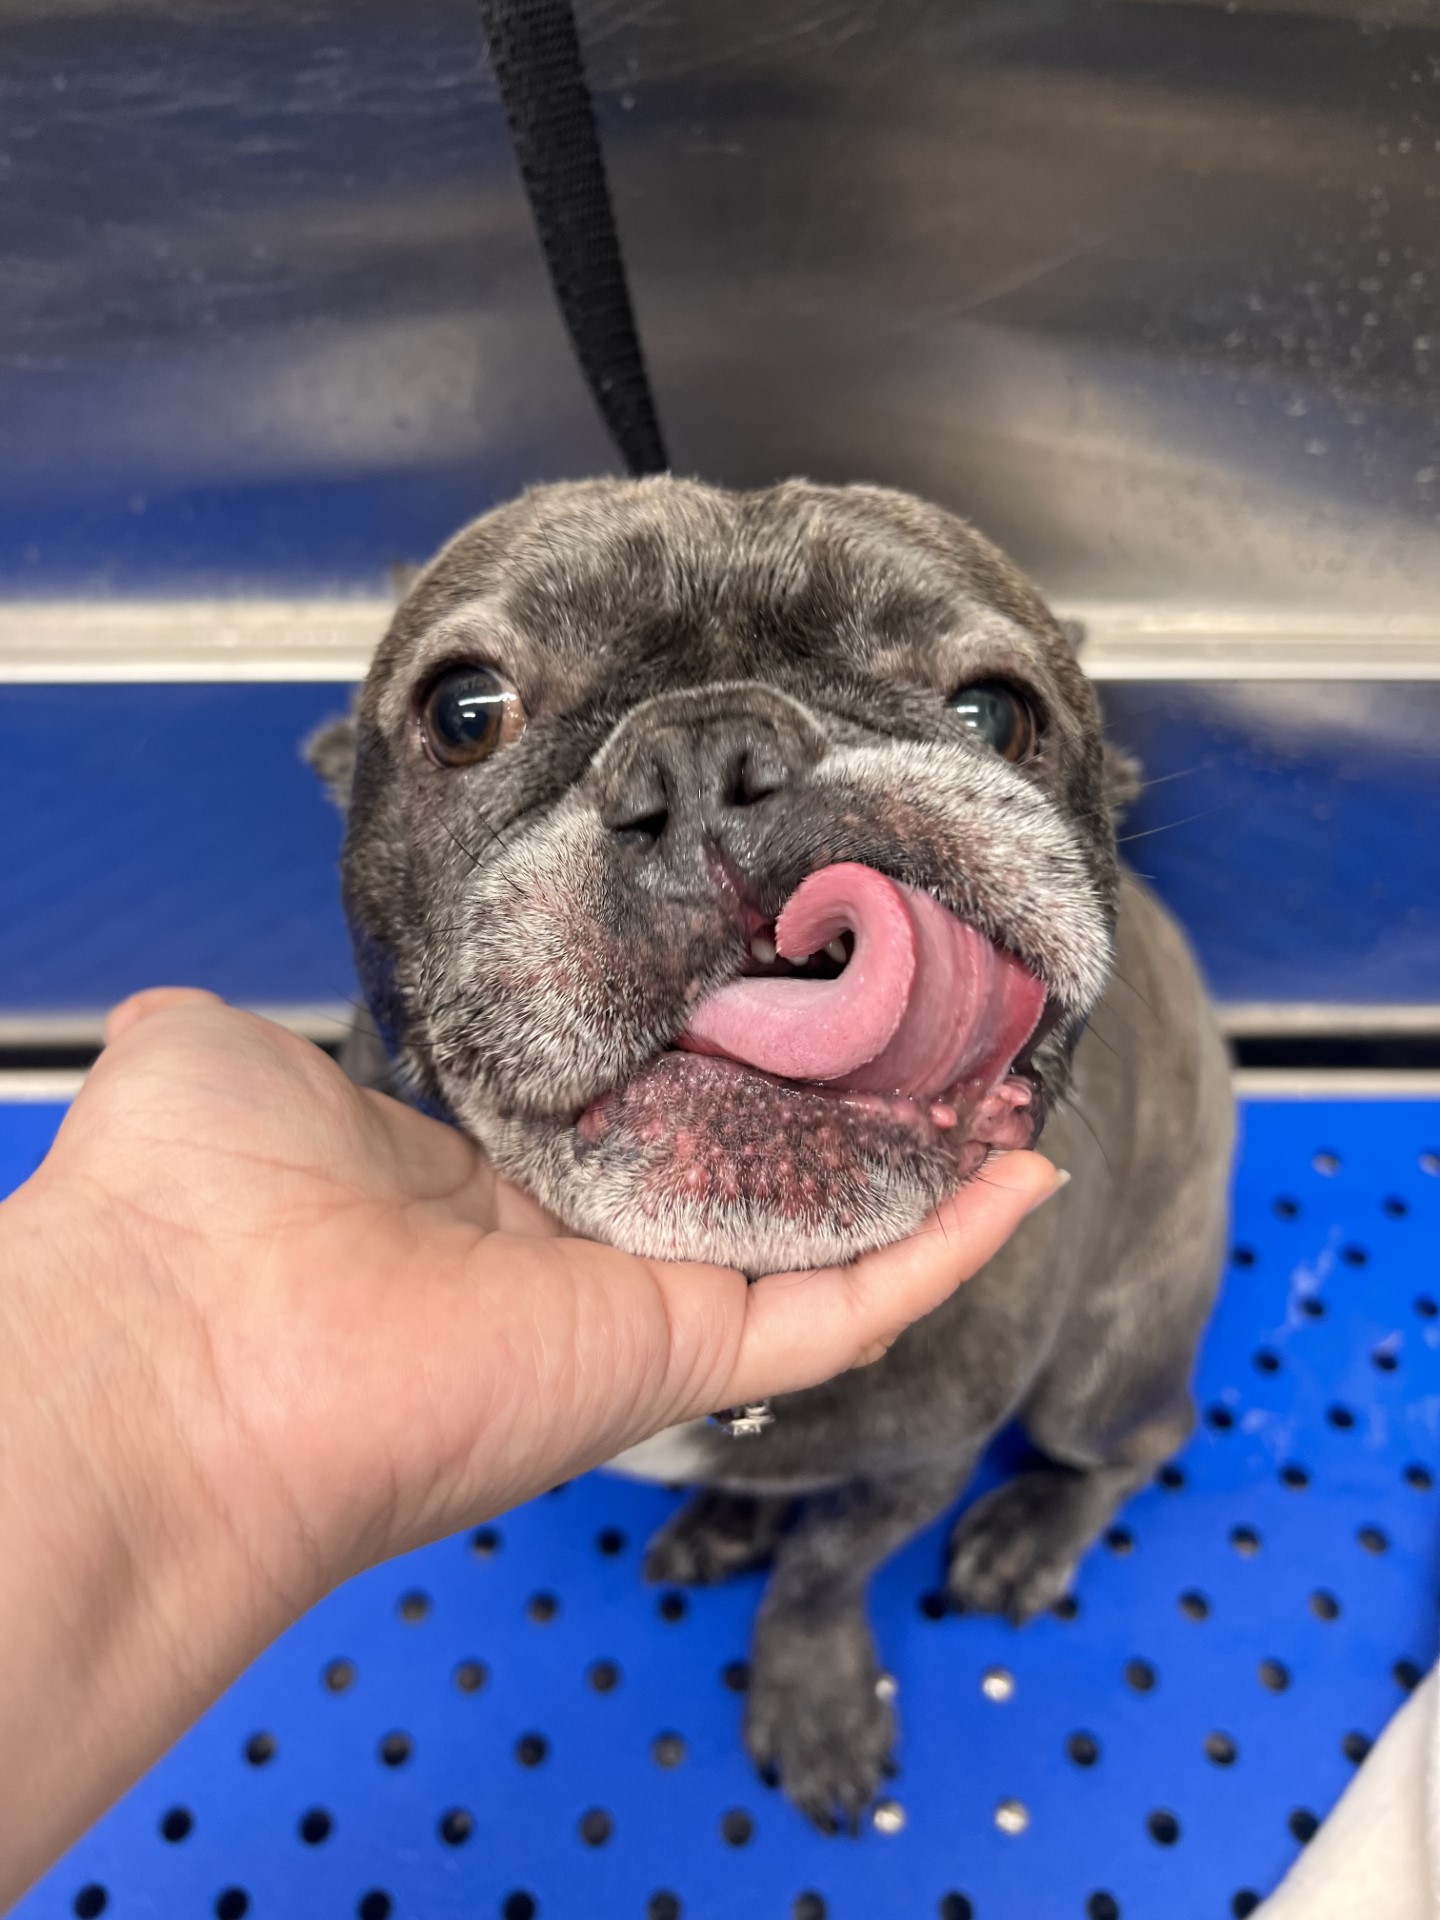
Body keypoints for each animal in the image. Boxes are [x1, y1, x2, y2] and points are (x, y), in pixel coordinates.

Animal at [309, 476, 1234, 1831]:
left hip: (1099, 1368)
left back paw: (1029, 1532)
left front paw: (811, 1698)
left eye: (996, 713)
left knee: (1138, 1443)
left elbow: (825, 1569)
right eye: (464, 710)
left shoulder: (925, 1462)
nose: (709, 755)